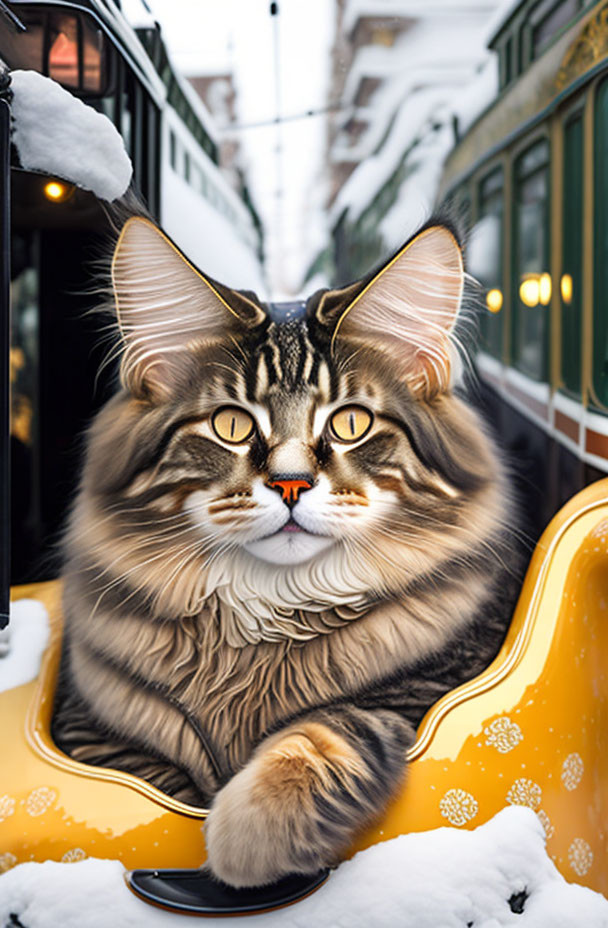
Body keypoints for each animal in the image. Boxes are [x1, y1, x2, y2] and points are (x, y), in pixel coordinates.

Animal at [53, 214, 516, 888]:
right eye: (232, 425)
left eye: (350, 423)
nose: (291, 484)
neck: (268, 608)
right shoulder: (90, 728)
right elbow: (155, 788)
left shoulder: (426, 692)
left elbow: (328, 728)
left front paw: (241, 841)